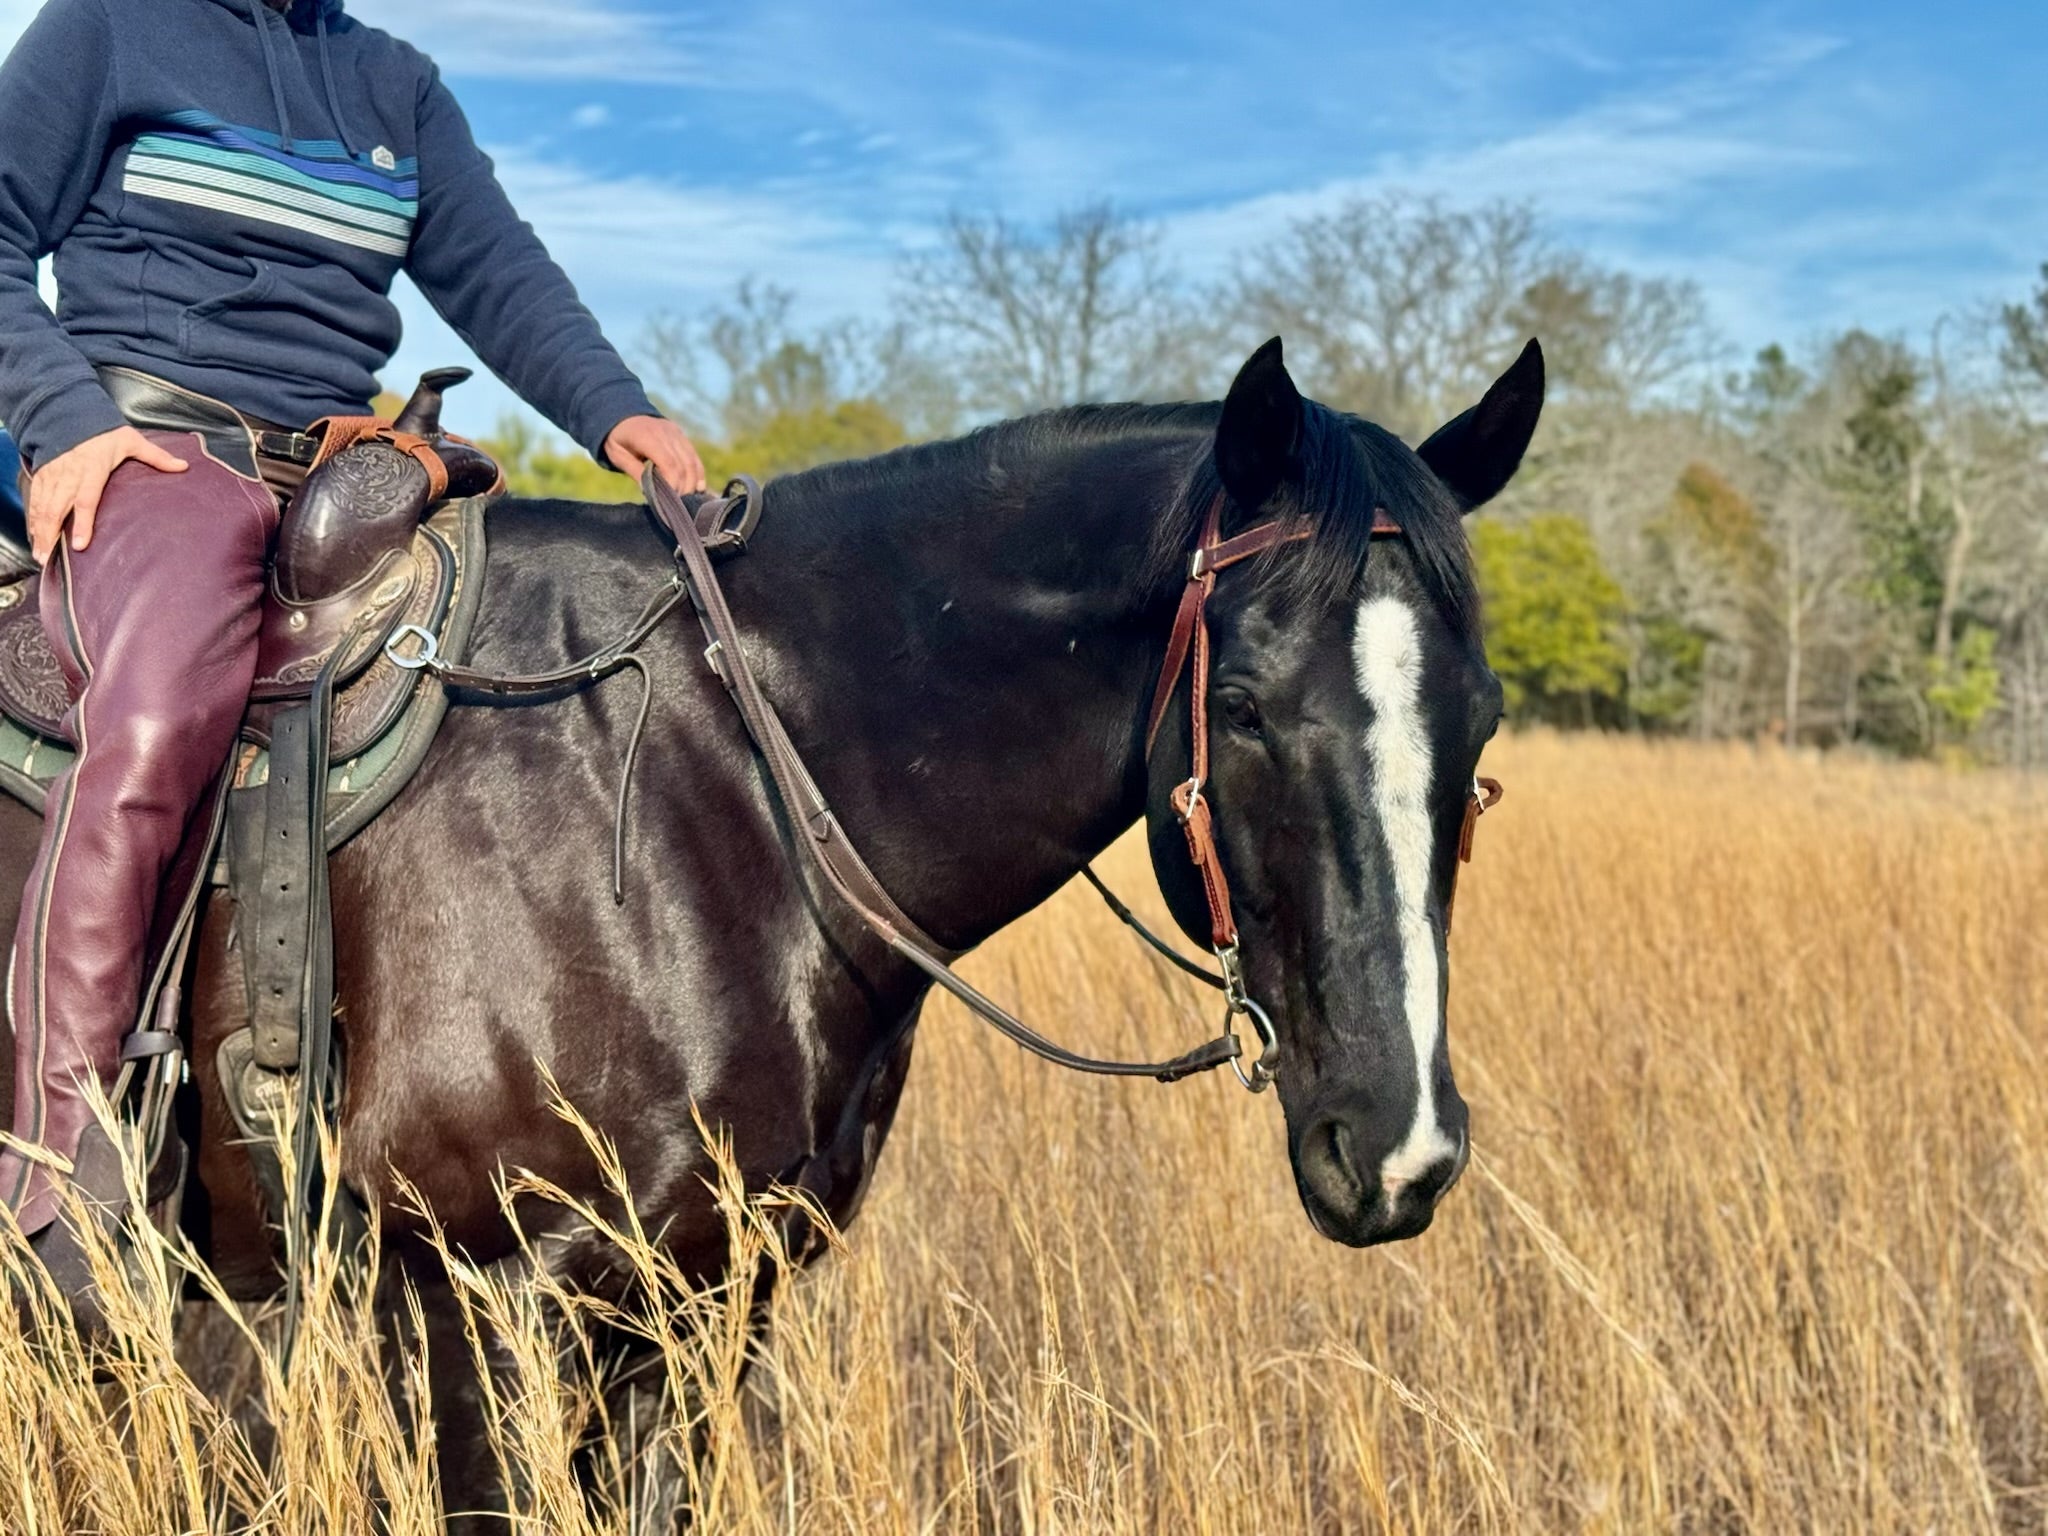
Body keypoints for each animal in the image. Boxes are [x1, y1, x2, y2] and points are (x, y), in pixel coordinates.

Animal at [0, 333, 1540, 1515]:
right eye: (1247, 708)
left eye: (1480, 726)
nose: (1399, 1151)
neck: (726, 779)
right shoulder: (476, 1304)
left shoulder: (701, 1305)